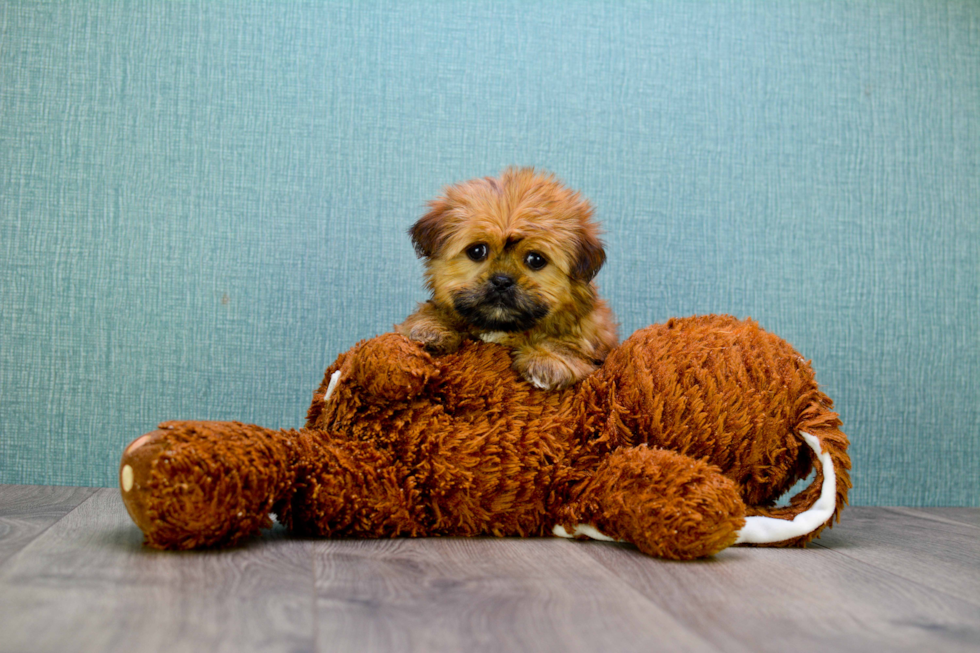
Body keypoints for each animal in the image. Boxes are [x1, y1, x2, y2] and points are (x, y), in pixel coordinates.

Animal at [394, 169, 616, 392]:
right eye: (477, 251)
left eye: (536, 260)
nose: (502, 281)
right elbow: (431, 311)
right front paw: (431, 328)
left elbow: (568, 344)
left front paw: (547, 360)